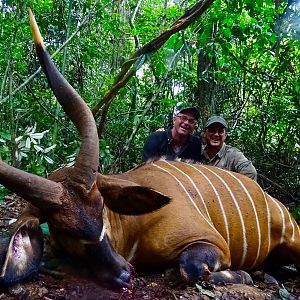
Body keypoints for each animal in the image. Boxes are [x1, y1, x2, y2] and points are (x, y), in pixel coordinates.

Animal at [0, 9, 300, 290]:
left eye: (101, 207)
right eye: (62, 229)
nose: (122, 274)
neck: (134, 227)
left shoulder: (214, 243)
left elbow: (191, 269)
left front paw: (246, 276)